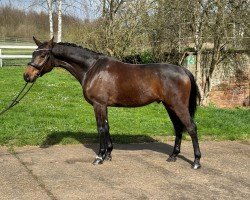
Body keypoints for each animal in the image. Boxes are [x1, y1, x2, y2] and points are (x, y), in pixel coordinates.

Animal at [23, 37, 202, 169]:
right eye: (33, 54)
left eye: (43, 56)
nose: (27, 76)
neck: (92, 68)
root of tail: (184, 70)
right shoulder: (104, 106)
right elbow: (107, 127)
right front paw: (108, 154)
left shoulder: (99, 105)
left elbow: (101, 128)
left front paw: (99, 157)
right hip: (169, 106)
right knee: (178, 128)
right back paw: (173, 156)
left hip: (178, 106)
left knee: (191, 127)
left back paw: (196, 162)